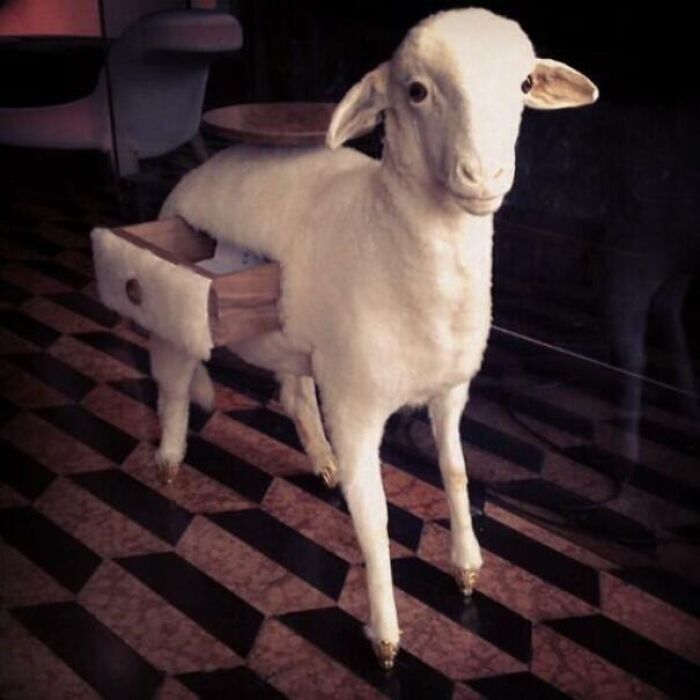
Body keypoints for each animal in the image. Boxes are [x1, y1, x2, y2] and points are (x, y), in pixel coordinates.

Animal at [153, 7, 598, 669]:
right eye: (415, 92)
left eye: (523, 85)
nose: (484, 176)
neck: (388, 233)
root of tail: (200, 172)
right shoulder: (357, 406)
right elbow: (375, 519)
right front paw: (385, 633)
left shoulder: (450, 391)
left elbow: (456, 471)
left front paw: (467, 565)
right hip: (183, 308)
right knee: (177, 379)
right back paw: (169, 457)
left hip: (298, 337)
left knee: (293, 391)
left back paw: (320, 458)